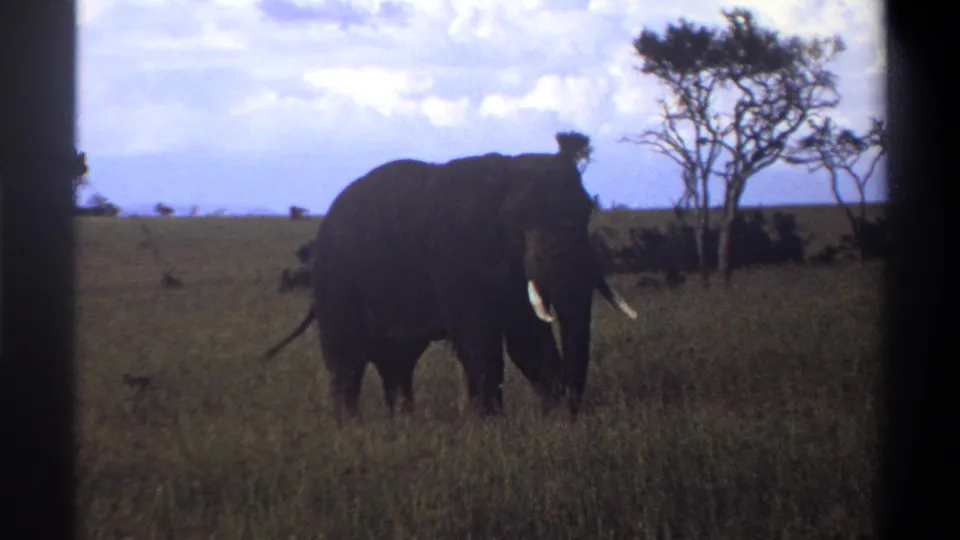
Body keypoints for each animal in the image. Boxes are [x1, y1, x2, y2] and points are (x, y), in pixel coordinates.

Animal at [261, 132, 638, 422]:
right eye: (520, 221)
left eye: (587, 211)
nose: (574, 410)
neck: (506, 173)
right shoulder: (455, 258)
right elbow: (480, 339)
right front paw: (491, 425)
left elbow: (527, 340)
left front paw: (554, 418)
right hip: (335, 284)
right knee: (348, 362)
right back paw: (351, 430)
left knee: (396, 362)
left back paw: (402, 425)